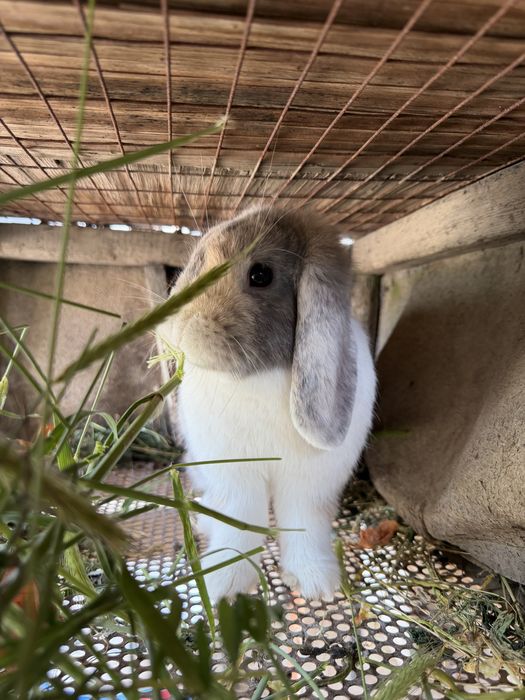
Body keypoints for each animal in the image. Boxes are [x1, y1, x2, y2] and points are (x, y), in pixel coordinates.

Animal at [160, 205, 376, 602]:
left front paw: (315, 583)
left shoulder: (309, 486)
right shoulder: (235, 479)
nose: (181, 327)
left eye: (261, 274)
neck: (257, 378)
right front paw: (223, 583)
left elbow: (305, 524)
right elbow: (238, 525)